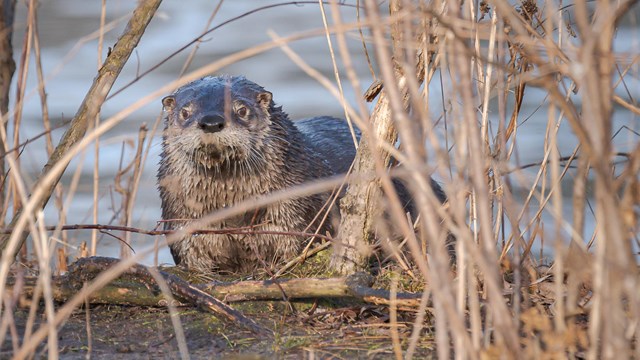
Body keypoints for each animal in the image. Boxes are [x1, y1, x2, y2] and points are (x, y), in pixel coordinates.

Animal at [157, 75, 442, 272]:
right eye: (185, 112)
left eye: (241, 110)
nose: (211, 121)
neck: (235, 213)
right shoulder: (183, 224)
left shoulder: (297, 214)